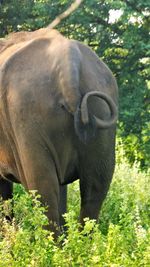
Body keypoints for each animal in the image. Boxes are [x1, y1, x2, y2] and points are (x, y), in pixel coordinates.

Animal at [0, 28, 118, 239]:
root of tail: (69, 62)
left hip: (27, 116)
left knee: (43, 190)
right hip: (101, 111)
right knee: (96, 187)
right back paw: (80, 244)